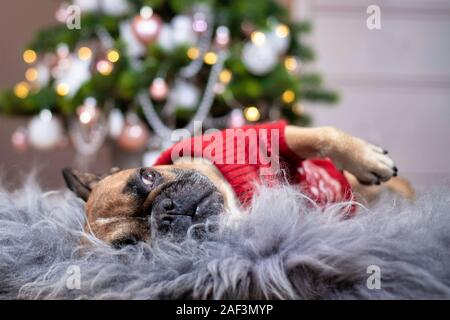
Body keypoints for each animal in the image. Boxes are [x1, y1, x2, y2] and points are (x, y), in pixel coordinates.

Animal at [63, 120, 414, 248]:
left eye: (148, 175)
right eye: (131, 248)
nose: (168, 211)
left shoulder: (274, 135)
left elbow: (321, 135)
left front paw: (367, 159)